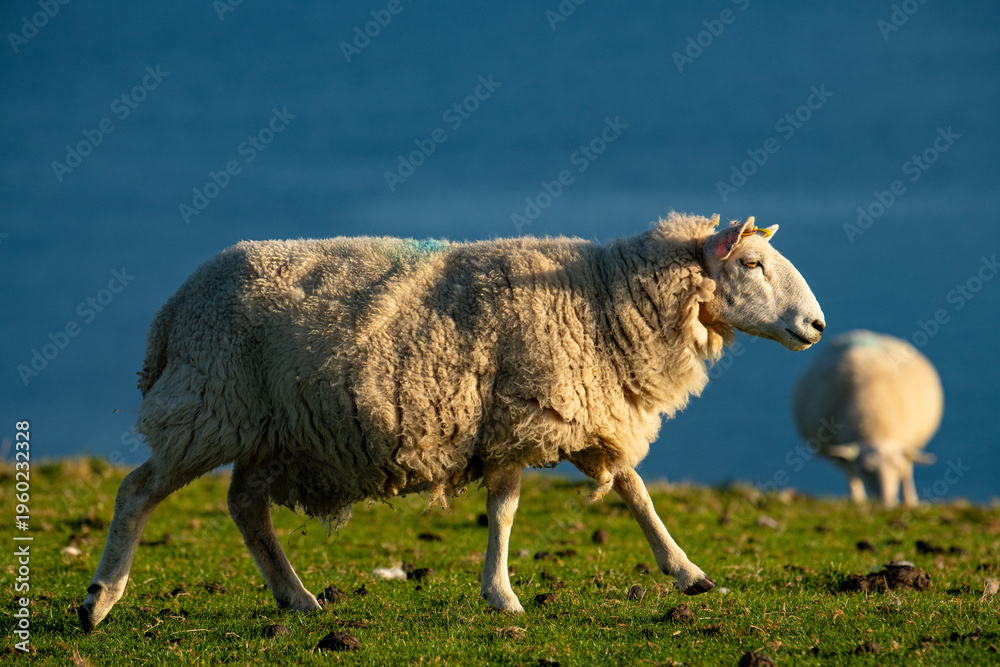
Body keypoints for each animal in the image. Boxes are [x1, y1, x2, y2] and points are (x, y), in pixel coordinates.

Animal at [78, 213, 825, 630]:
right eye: (753, 263)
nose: (818, 325)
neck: (605, 301)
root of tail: (174, 309)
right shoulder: (523, 415)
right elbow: (508, 511)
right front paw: (504, 596)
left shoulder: (573, 418)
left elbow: (632, 490)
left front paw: (687, 572)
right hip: (209, 405)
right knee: (138, 491)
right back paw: (99, 600)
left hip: (272, 427)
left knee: (244, 508)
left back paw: (298, 599)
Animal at [792, 329, 942, 507]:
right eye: (866, 470)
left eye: (896, 469)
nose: (886, 502)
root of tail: (862, 332)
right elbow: (852, 473)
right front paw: (858, 501)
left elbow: (906, 469)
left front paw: (910, 502)